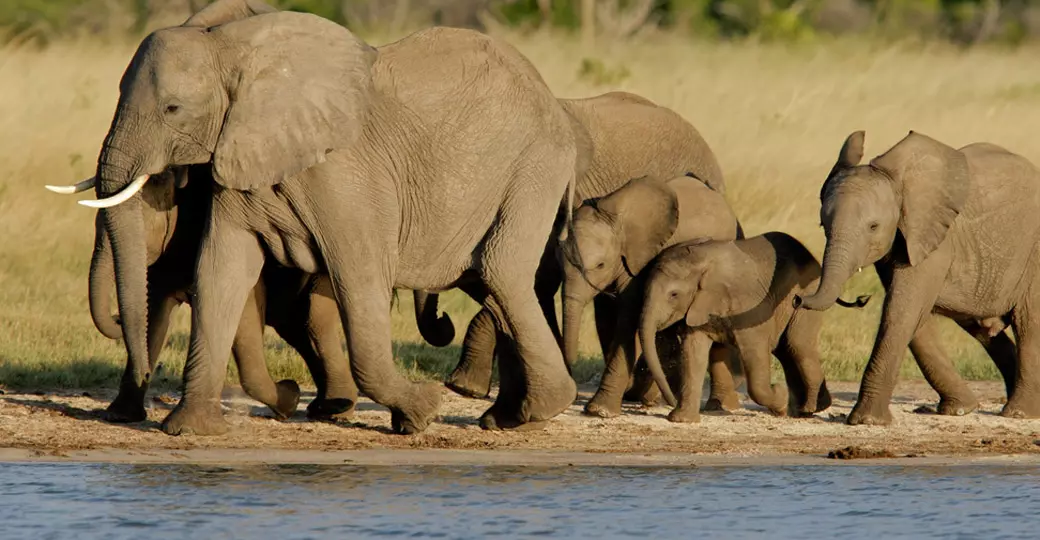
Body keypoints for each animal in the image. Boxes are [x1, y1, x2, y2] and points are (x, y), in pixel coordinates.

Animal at [49, 164, 359, 423]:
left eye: (144, 226)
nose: (115, 317)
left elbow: (242, 310)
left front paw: (290, 398)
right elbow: (155, 312)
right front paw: (119, 417)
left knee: (310, 318)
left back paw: (332, 409)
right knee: (292, 322)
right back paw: (328, 406)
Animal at [557, 174, 744, 418]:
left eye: (600, 265)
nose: (570, 365)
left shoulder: (641, 260)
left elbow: (628, 320)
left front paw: (600, 410)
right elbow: (606, 320)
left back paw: (717, 406)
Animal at [638, 232, 867, 422]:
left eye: (673, 295)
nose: (668, 401)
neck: (701, 261)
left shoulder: (747, 304)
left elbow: (755, 353)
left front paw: (780, 398)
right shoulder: (697, 307)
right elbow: (693, 352)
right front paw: (681, 420)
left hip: (805, 297)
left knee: (798, 346)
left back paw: (809, 409)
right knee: (786, 351)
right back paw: (802, 409)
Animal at [794, 130, 1040, 425]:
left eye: (873, 227)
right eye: (823, 226)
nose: (797, 299)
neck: (900, 184)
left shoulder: (934, 241)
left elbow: (902, 311)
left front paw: (866, 421)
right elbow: (915, 318)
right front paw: (959, 409)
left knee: (1029, 323)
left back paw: (1019, 413)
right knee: (983, 330)